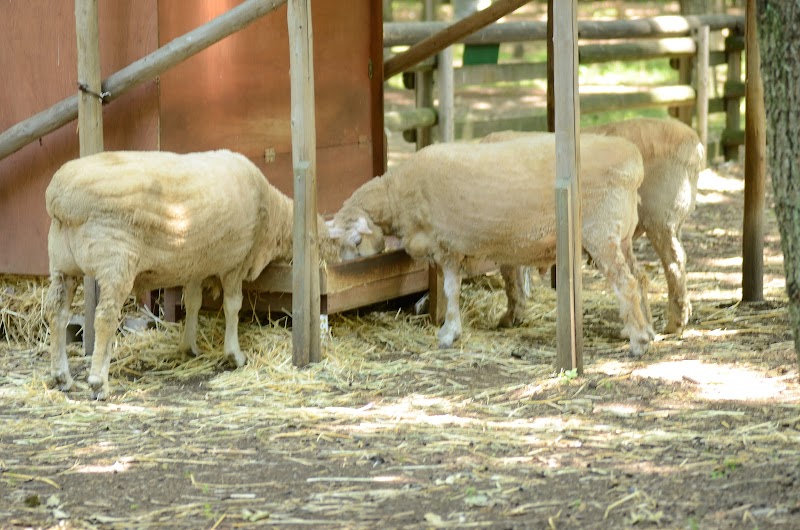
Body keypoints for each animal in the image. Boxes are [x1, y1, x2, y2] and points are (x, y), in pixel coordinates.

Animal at [43, 147, 338, 396]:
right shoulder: (235, 263)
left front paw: (189, 346)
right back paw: (98, 382)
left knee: (57, 313)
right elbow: (233, 306)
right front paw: (234, 354)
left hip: (61, 264)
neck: (270, 217)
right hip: (116, 260)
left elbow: (193, 302)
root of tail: (62, 199)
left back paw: (61, 376)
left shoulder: (197, 262)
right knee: (104, 317)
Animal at [328, 132, 652, 354]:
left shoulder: (447, 246)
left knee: (625, 283)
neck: (396, 194)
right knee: (641, 277)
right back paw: (644, 328)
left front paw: (449, 333)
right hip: (622, 236)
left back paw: (638, 341)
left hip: (601, 233)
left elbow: (451, 291)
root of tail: (634, 165)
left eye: (356, 240)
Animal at [484, 118, 704, 334]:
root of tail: (695, 146)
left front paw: (510, 317)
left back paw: (674, 322)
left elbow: (510, 277)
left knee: (674, 263)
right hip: (672, 220)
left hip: (659, 217)